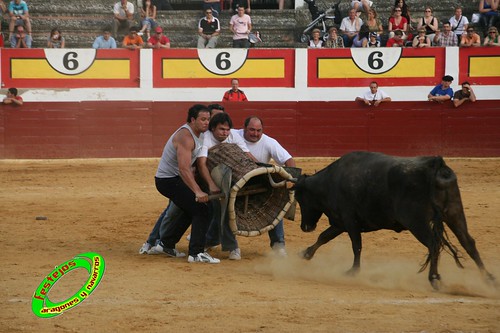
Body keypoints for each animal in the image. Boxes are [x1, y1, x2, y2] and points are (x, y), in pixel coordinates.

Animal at [292, 150, 496, 288]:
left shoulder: (349, 221)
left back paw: (434, 278)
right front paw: (305, 254)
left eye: (301, 198)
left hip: (417, 222)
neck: (330, 181)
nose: (305, 227)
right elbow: (324, 237)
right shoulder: (341, 223)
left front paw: (352, 271)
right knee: (468, 242)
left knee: (433, 244)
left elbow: (356, 245)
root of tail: (435, 165)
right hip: (454, 212)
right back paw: (488, 279)